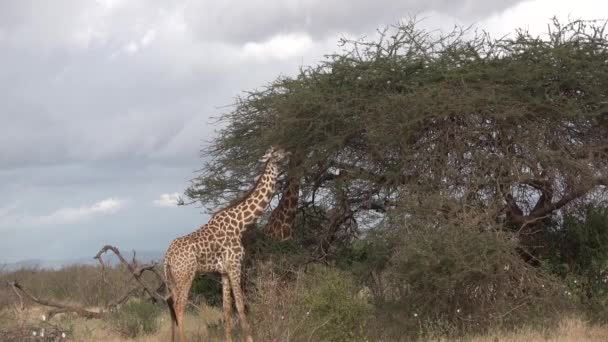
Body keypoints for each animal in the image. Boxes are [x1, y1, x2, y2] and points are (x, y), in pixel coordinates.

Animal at [164, 146, 290, 342]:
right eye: (276, 152)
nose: (289, 153)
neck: (241, 224)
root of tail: (167, 256)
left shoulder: (223, 271)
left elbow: (227, 308)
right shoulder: (235, 264)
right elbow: (240, 304)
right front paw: (249, 338)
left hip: (173, 278)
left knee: (171, 306)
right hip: (186, 275)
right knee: (179, 307)